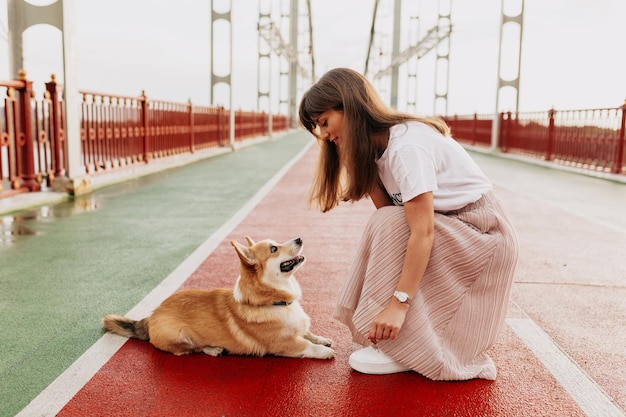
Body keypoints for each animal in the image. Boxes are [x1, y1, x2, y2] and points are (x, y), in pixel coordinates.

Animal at [102, 236, 334, 360]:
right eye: (274, 248)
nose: (300, 238)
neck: (276, 302)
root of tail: (151, 316)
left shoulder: (299, 329)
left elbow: (309, 334)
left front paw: (324, 339)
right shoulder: (285, 344)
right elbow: (307, 345)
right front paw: (324, 351)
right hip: (181, 338)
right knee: (193, 349)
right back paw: (214, 349)